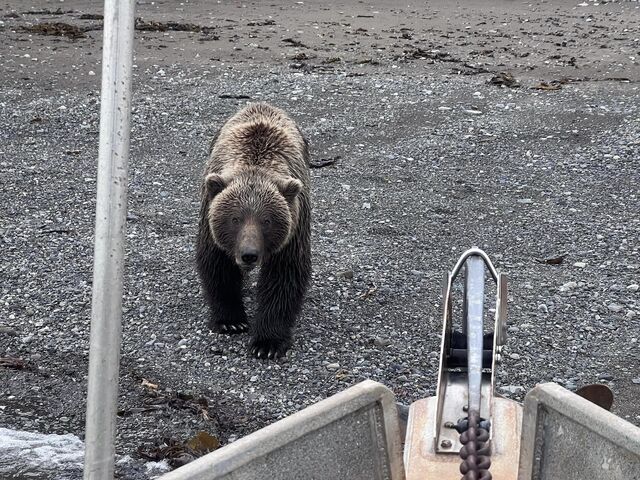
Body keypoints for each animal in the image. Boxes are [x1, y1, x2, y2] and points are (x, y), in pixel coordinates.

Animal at [198, 104, 312, 360]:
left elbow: (283, 276)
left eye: (266, 220)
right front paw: (231, 321)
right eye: (235, 219)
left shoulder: (293, 229)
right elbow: (218, 265)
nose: (249, 254)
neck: (255, 164)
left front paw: (267, 343)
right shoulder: (211, 221)